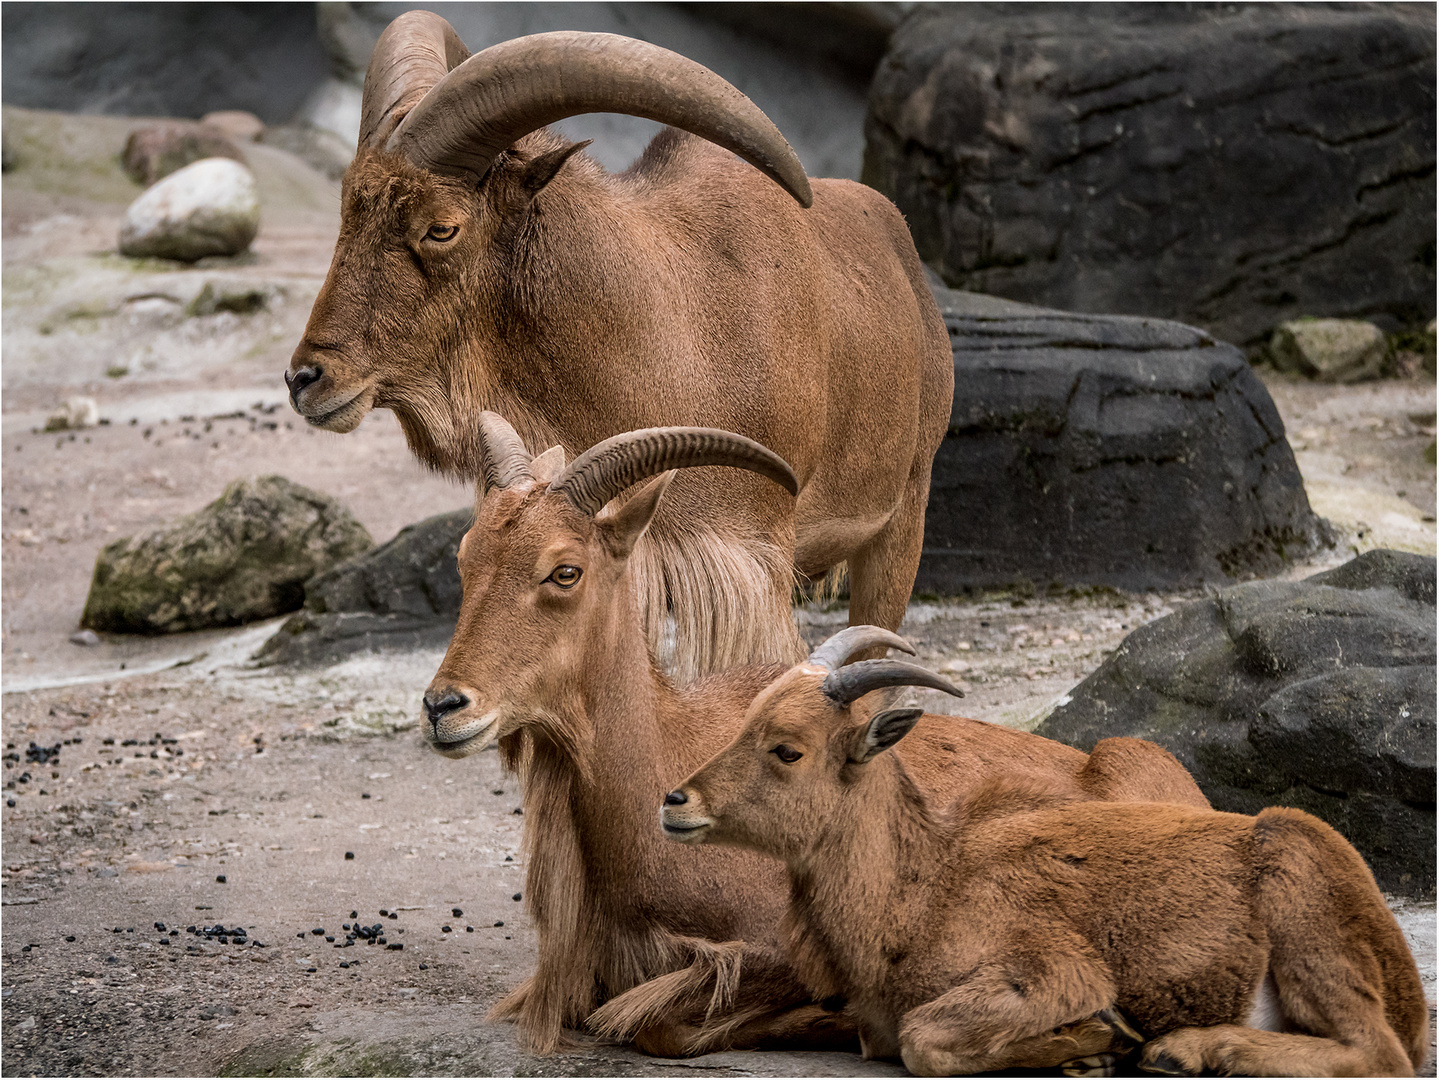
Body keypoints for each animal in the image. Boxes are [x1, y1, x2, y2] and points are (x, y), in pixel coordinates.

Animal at [283, 8, 955, 684]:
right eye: (347, 213)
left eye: (441, 227)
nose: (306, 378)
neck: (661, 342)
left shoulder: (745, 564)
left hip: (903, 514)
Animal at [661, 673, 1427, 1075]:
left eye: (787, 749)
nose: (676, 801)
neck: (919, 891)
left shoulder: (1052, 967)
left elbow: (924, 1039)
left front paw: (1095, 1040)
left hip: (1304, 906)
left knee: (1376, 1052)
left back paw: (1185, 1047)